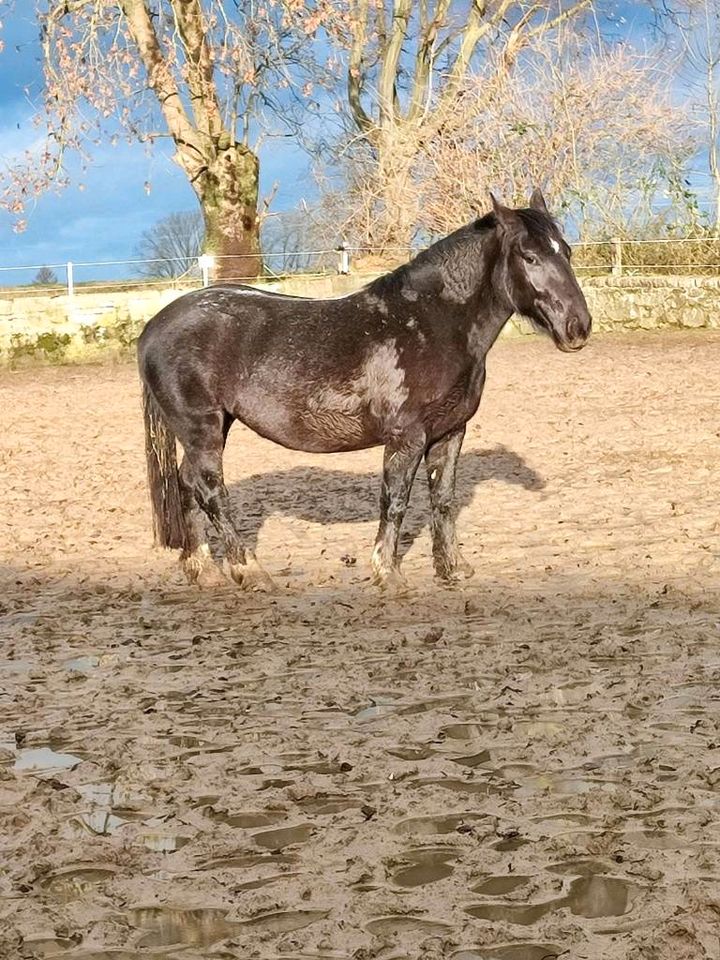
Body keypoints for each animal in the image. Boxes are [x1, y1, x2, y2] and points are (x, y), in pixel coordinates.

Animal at [139, 191, 592, 588]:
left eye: (566, 252)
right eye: (530, 256)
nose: (579, 327)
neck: (431, 324)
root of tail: (154, 326)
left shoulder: (450, 433)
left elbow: (442, 499)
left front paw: (453, 569)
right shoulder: (407, 437)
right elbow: (395, 501)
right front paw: (387, 574)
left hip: (213, 428)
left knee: (187, 484)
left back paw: (203, 571)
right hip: (203, 429)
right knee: (209, 490)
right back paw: (249, 572)